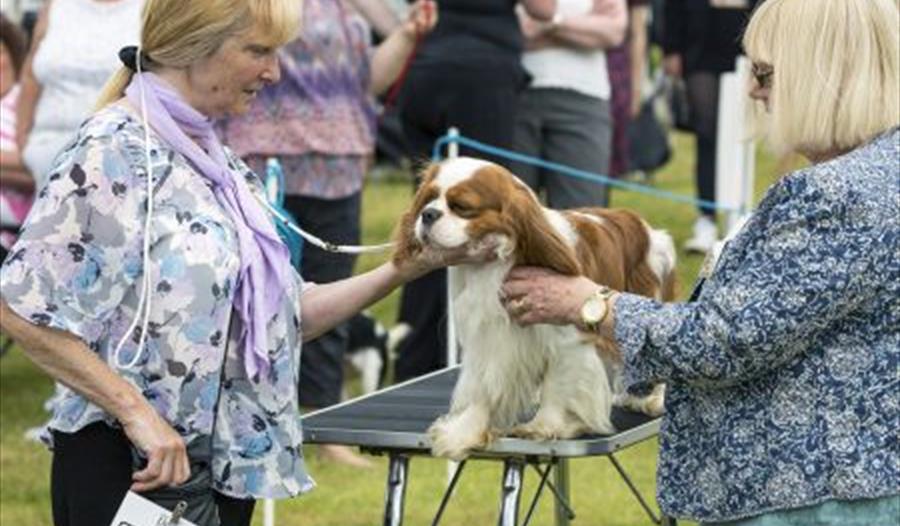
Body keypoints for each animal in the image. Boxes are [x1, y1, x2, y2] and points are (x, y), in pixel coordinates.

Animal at [394, 158, 676, 462]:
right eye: (429, 198)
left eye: (462, 207)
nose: (428, 214)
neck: (494, 267)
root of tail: (641, 224)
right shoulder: (488, 339)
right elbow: (483, 388)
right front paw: (465, 431)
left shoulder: (567, 341)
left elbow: (557, 385)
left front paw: (544, 426)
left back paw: (654, 399)